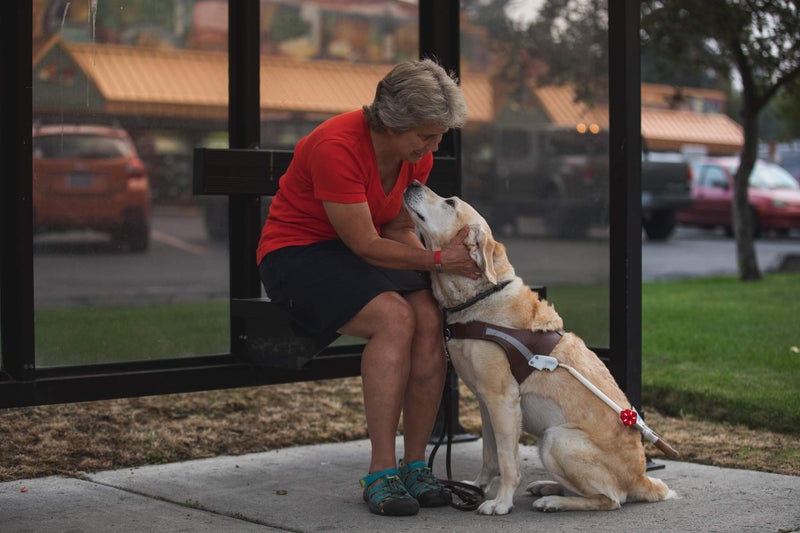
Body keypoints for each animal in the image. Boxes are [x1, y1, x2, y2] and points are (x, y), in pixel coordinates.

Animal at [400, 181, 676, 512]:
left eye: (450, 202)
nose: (413, 182)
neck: (480, 297)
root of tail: (641, 479)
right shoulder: (485, 402)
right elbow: (490, 456)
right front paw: (477, 487)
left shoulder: (502, 400)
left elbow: (507, 461)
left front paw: (501, 502)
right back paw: (548, 487)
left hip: (555, 438)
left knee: (609, 499)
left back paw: (554, 500)